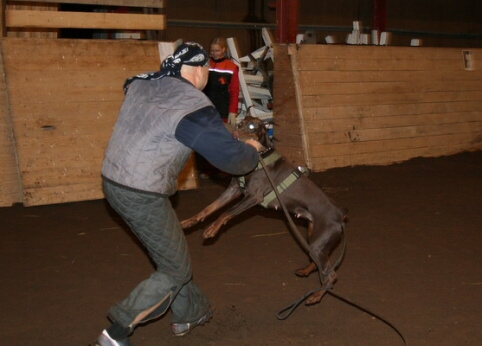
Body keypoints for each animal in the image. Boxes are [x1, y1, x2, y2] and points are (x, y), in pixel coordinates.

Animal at [181, 117, 346, 306]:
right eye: (240, 124)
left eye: (252, 126)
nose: (235, 134)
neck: (260, 156)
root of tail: (340, 217)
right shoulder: (234, 190)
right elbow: (209, 208)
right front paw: (189, 222)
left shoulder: (253, 197)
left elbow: (226, 213)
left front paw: (211, 230)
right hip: (315, 239)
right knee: (323, 263)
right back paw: (305, 271)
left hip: (319, 242)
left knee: (332, 275)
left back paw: (315, 296)